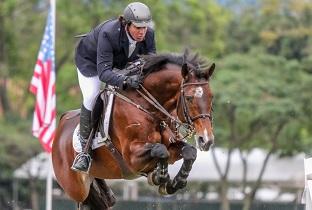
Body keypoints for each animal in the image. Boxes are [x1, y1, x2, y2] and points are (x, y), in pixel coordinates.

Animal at [52, 50, 216, 209]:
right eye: (189, 98)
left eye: (211, 97)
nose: (206, 140)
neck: (149, 107)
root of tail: (61, 125)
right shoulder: (131, 157)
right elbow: (160, 150)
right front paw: (160, 176)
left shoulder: (172, 146)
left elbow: (189, 152)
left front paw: (174, 182)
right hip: (78, 188)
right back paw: (82, 160)